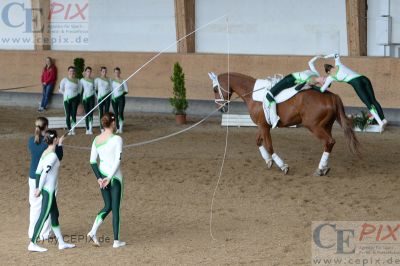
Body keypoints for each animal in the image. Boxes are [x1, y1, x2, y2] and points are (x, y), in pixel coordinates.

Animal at [212, 72, 360, 177]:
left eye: (215, 89)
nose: (221, 109)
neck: (253, 95)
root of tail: (332, 96)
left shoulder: (264, 127)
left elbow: (269, 146)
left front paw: (282, 166)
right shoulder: (262, 125)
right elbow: (258, 141)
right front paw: (268, 161)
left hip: (314, 126)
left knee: (329, 141)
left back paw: (320, 169)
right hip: (326, 126)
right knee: (328, 144)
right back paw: (323, 168)